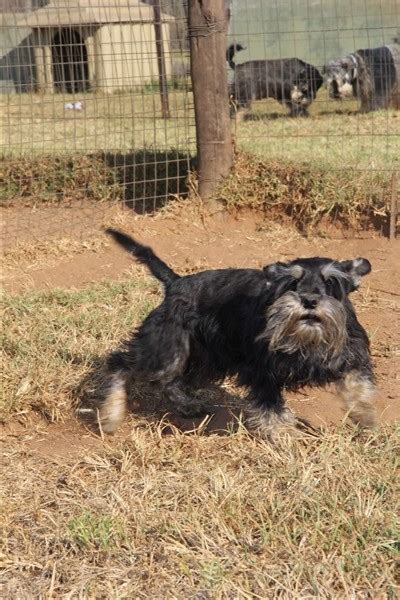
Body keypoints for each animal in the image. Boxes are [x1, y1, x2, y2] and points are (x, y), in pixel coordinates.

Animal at [94, 229, 376, 436]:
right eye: (293, 282)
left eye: (330, 281)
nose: (308, 300)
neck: (309, 340)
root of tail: (175, 282)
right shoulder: (262, 371)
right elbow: (271, 408)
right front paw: (286, 437)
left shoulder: (352, 356)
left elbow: (359, 384)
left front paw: (365, 417)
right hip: (165, 349)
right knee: (120, 364)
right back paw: (111, 415)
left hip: (203, 358)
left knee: (169, 381)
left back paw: (187, 406)